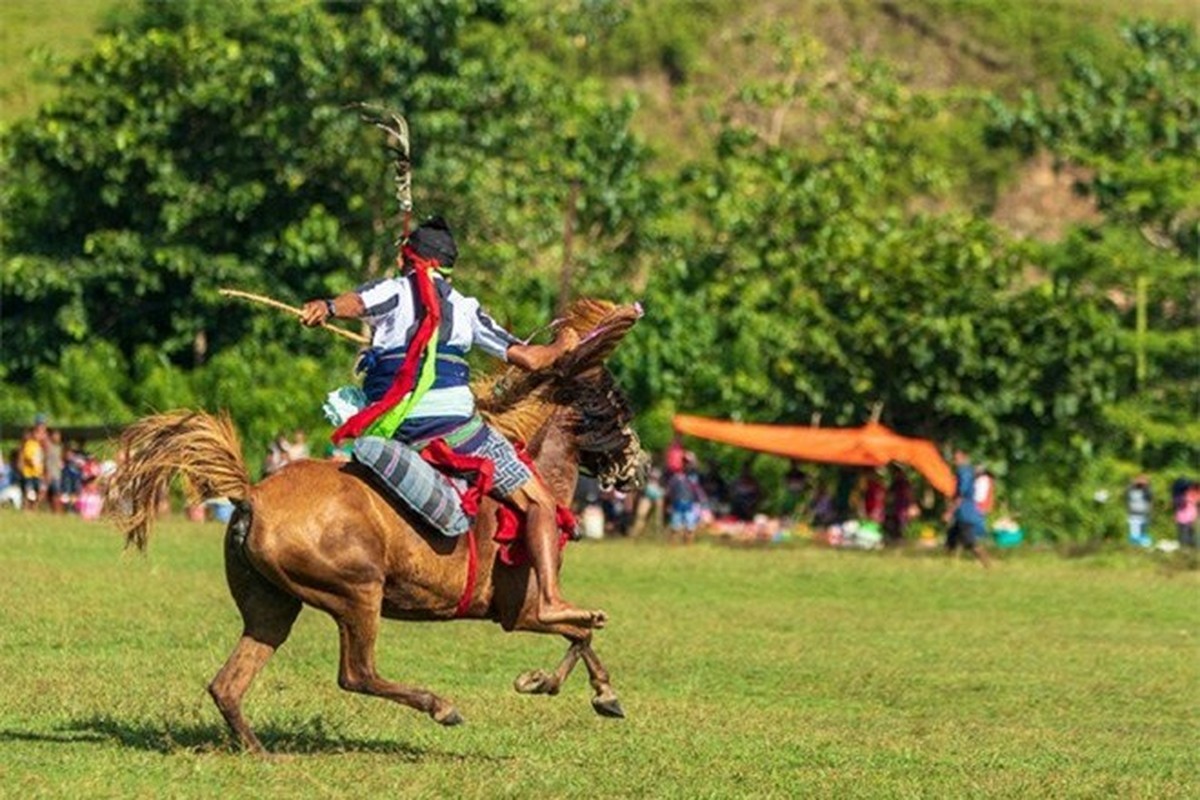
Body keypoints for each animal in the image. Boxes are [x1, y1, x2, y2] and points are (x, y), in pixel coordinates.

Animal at [108, 298, 648, 753]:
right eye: (618, 406)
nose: (639, 468)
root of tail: (253, 496)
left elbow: (581, 638)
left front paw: (587, 691)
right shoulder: (525, 609)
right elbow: (580, 627)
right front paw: (556, 683)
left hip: (272, 606)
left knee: (229, 683)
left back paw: (259, 751)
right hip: (357, 594)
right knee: (356, 673)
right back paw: (441, 706)